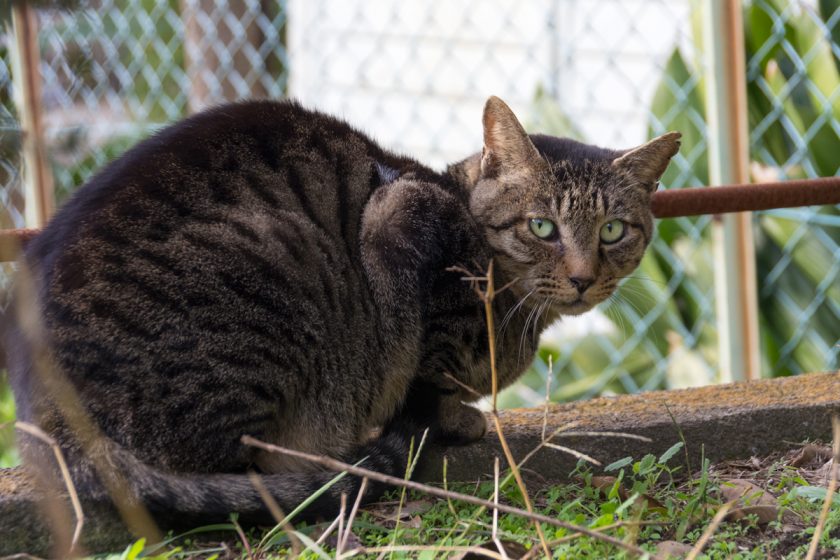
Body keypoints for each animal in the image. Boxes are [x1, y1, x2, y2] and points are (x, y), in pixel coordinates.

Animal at [1, 96, 684, 532]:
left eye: (614, 231)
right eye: (542, 227)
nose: (583, 278)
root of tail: (51, 424)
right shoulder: (401, 222)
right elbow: (428, 376)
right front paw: (455, 419)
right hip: (276, 275)